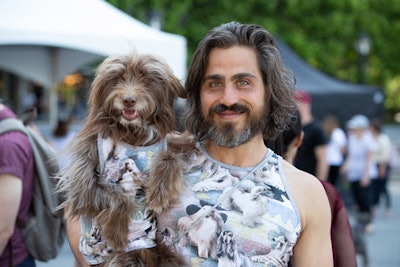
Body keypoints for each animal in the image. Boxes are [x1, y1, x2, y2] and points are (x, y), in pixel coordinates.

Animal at [58, 52, 195, 267]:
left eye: (147, 80)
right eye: (116, 79)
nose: (128, 100)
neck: (132, 135)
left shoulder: (168, 143)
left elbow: (172, 155)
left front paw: (160, 191)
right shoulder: (83, 180)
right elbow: (119, 199)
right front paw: (116, 233)